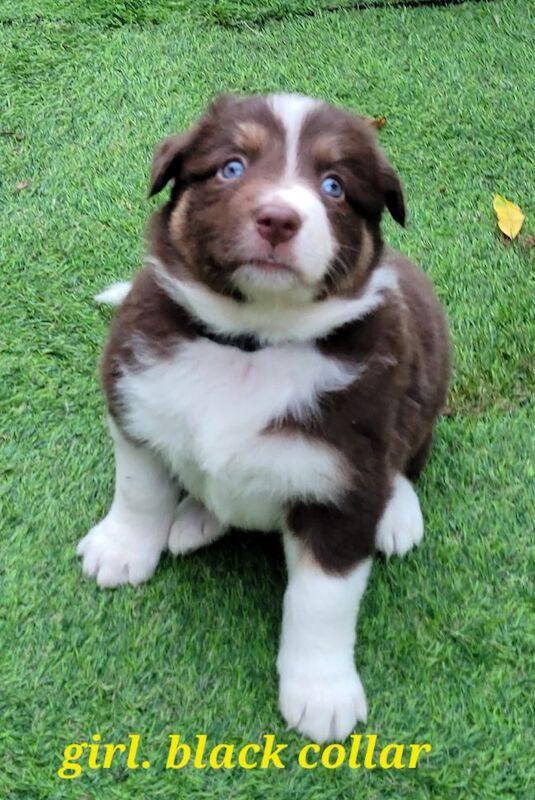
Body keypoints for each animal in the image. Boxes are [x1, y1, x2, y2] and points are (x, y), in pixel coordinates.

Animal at [77, 94, 450, 744]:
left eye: (333, 186)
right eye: (232, 167)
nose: (278, 218)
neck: (253, 343)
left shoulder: (343, 486)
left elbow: (322, 603)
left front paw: (321, 694)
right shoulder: (136, 403)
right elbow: (139, 491)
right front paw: (122, 549)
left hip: (429, 373)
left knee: (408, 458)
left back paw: (397, 516)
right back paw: (194, 519)